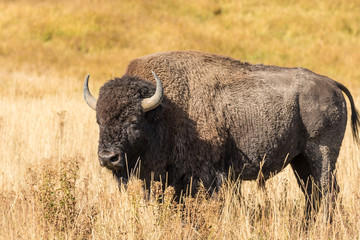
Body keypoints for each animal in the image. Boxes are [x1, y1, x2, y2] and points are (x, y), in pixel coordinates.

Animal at [83, 50, 358, 221]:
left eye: (134, 120)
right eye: (99, 120)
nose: (108, 158)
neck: (166, 109)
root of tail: (332, 83)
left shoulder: (207, 177)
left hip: (321, 153)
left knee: (327, 192)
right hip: (300, 161)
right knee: (312, 194)